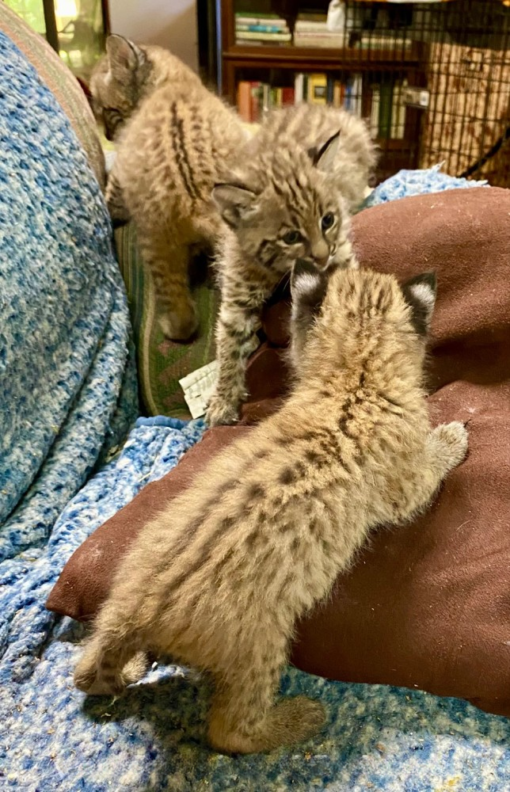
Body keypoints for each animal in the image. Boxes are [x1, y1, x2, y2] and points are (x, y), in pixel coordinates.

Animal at [73, 262, 468, 756]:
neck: (354, 373)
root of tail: (138, 607)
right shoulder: (405, 488)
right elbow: (430, 466)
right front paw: (452, 437)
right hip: (260, 644)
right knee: (228, 731)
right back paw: (298, 719)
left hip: (127, 576)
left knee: (85, 671)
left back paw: (129, 664)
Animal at [92, 35, 253, 338]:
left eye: (106, 110)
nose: (106, 135)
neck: (173, 81)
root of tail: (197, 200)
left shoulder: (120, 174)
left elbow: (110, 200)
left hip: (157, 244)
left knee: (183, 318)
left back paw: (171, 325)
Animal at [205, 106, 376, 426]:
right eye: (291, 237)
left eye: (327, 220)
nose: (321, 257)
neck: (276, 270)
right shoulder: (237, 295)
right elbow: (228, 346)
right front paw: (223, 399)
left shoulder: (342, 251)